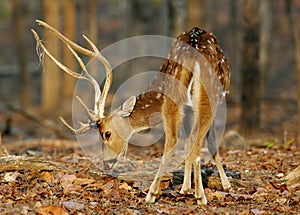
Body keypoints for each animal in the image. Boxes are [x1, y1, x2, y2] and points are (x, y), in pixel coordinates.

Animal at [31, 20, 232, 205]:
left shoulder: (187, 107)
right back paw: (191, 196)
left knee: (182, 140)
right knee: (185, 140)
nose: (107, 162)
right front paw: (218, 185)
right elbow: (206, 143)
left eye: (107, 133)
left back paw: (166, 193)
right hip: (207, 95)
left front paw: (191, 187)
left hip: (187, 98)